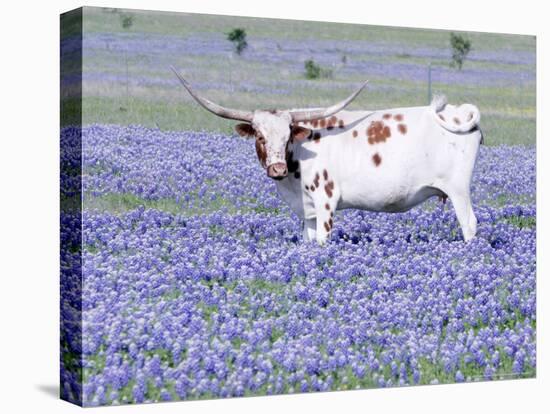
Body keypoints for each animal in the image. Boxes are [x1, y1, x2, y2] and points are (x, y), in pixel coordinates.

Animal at [171, 66, 484, 244]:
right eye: (260, 136)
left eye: (287, 135)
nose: (276, 169)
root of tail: (457, 112)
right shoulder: (307, 211)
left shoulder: (325, 203)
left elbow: (323, 241)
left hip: (458, 190)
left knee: (469, 225)